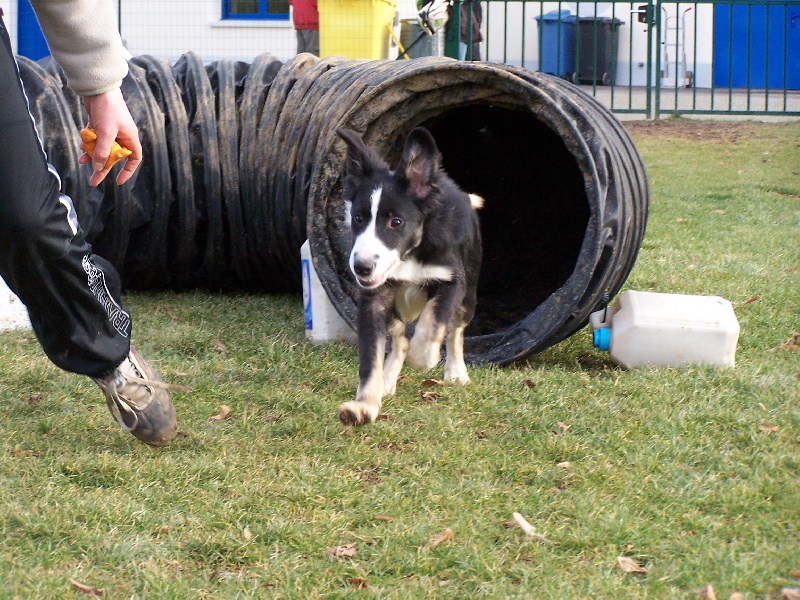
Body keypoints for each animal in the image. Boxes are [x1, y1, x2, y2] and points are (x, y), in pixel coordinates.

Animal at [332, 126, 482, 426]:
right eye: (358, 218)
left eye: (396, 222)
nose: (361, 267)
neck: (411, 253)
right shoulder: (373, 299)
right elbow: (371, 357)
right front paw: (364, 406)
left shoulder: (452, 279)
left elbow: (435, 319)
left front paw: (424, 355)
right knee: (399, 339)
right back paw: (388, 379)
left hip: (469, 293)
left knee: (456, 330)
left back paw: (456, 371)